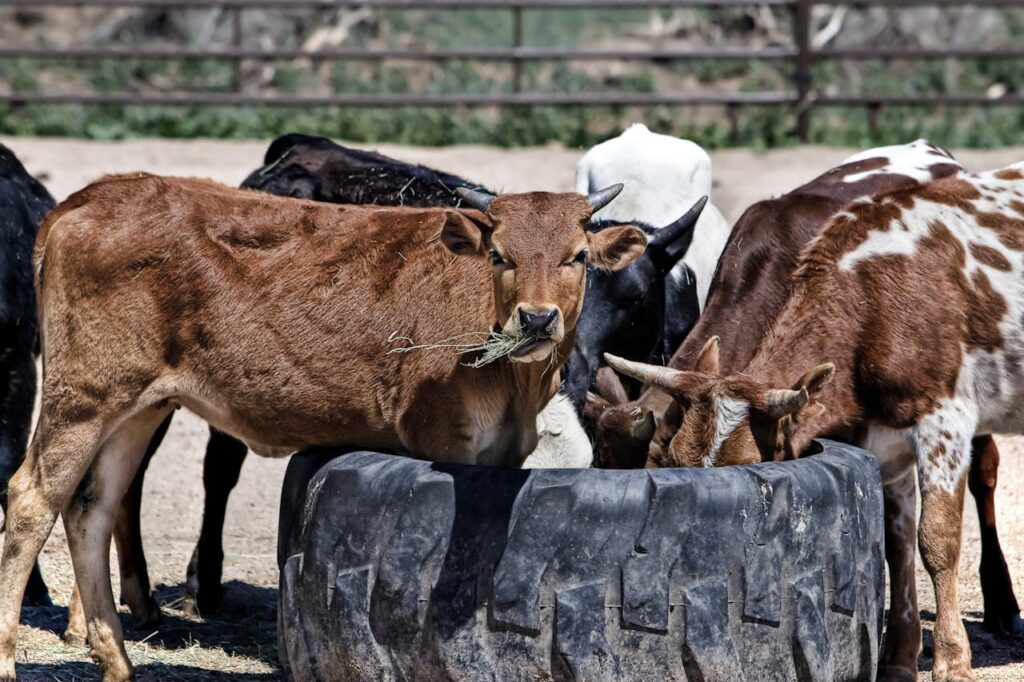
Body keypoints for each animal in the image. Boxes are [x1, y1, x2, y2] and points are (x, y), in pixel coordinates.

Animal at [0, 174, 646, 681]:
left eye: (577, 256)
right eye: (499, 255)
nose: (535, 318)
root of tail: (92, 197)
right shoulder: (444, 441)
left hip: (138, 406)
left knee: (93, 507)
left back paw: (117, 661)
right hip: (84, 396)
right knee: (32, 499)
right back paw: (10, 659)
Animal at [603, 164, 1024, 681]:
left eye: (751, 465)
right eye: (674, 462)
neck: (872, 301)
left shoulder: (943, 422)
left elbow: (936, 541)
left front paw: (950, 658)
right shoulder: (886, 444)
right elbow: (897, 546)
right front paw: (899, 658)